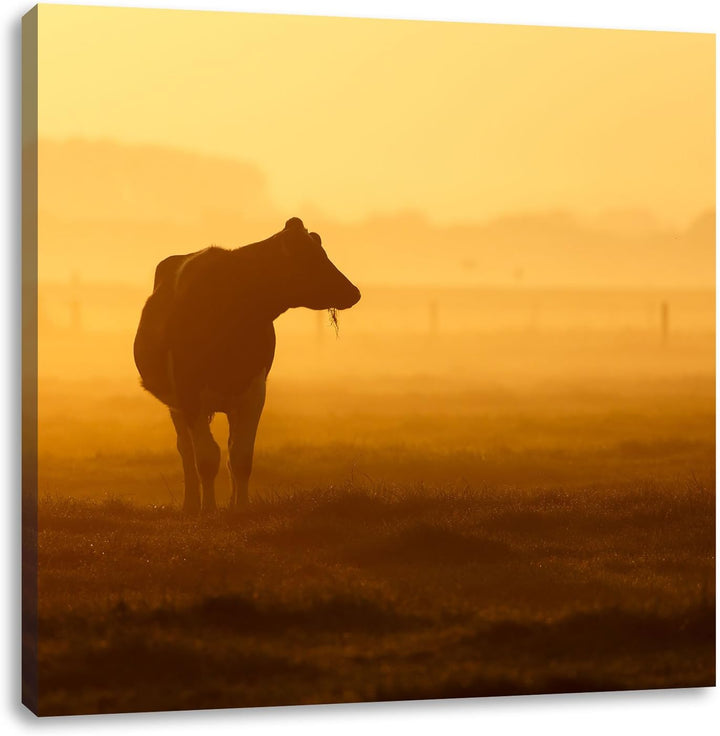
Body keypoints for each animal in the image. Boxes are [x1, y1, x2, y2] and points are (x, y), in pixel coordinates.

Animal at [133, 217, 361, 514]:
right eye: (311, 258)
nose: (354, 292)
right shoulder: (189, 393)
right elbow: (206, 458)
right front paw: (208, 510)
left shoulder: (254, 390)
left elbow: (241, 456)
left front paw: (240, 508)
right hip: (177, 405)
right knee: (186, 450)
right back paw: (191, 504)